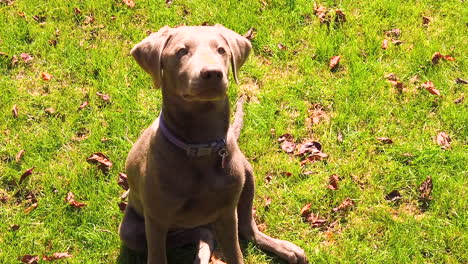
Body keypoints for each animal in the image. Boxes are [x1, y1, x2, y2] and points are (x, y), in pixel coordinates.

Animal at [118, 24, 308, 264]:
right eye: (181, 51)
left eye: (221, 50)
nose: (212, 73)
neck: (201, 145)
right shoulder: (156, 220)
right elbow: (158, 256)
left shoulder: (227, 213)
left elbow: (236, 253)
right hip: (132, 231)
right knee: (203, 233)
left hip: (247, 176)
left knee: (246, 228)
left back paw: (285, 249)